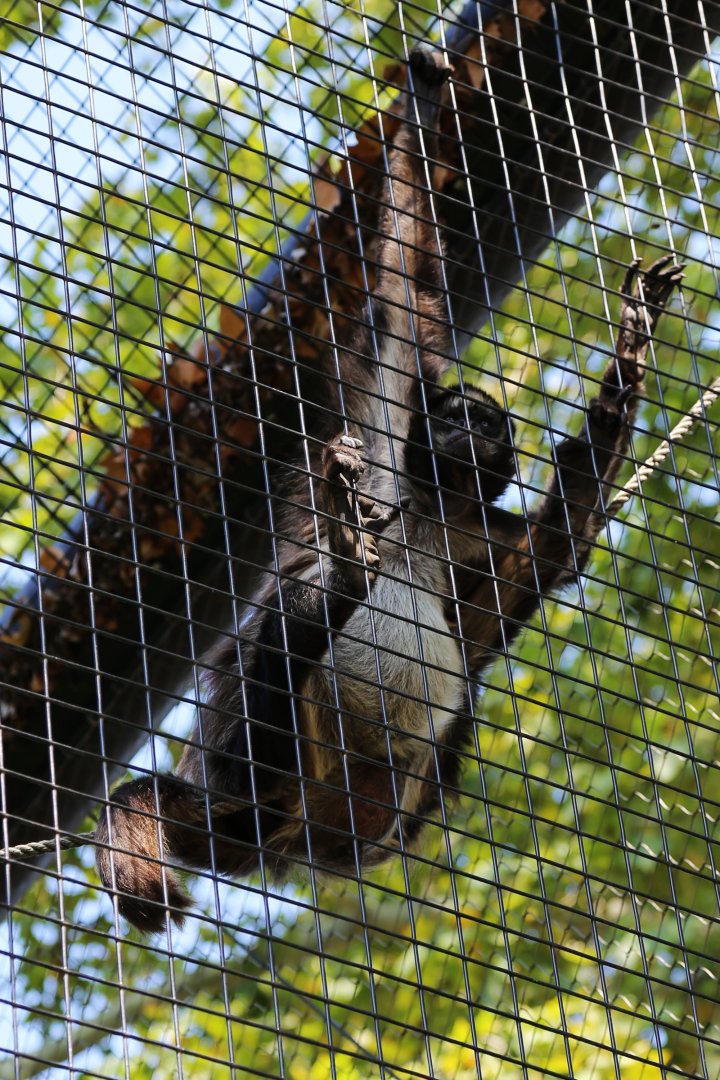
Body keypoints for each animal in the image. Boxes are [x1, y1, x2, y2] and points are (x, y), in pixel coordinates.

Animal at [95, 47, 683, 933]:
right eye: (457, 414)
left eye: (487, 423)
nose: (469, 428)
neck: (436, 507)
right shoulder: (382, 442)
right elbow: (402, 287)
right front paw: (425, 99)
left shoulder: (492, 537)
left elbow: (561, 539)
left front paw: (626, 368)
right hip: (270, 767)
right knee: (282, 627)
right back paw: (326, 597)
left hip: (386, 805)